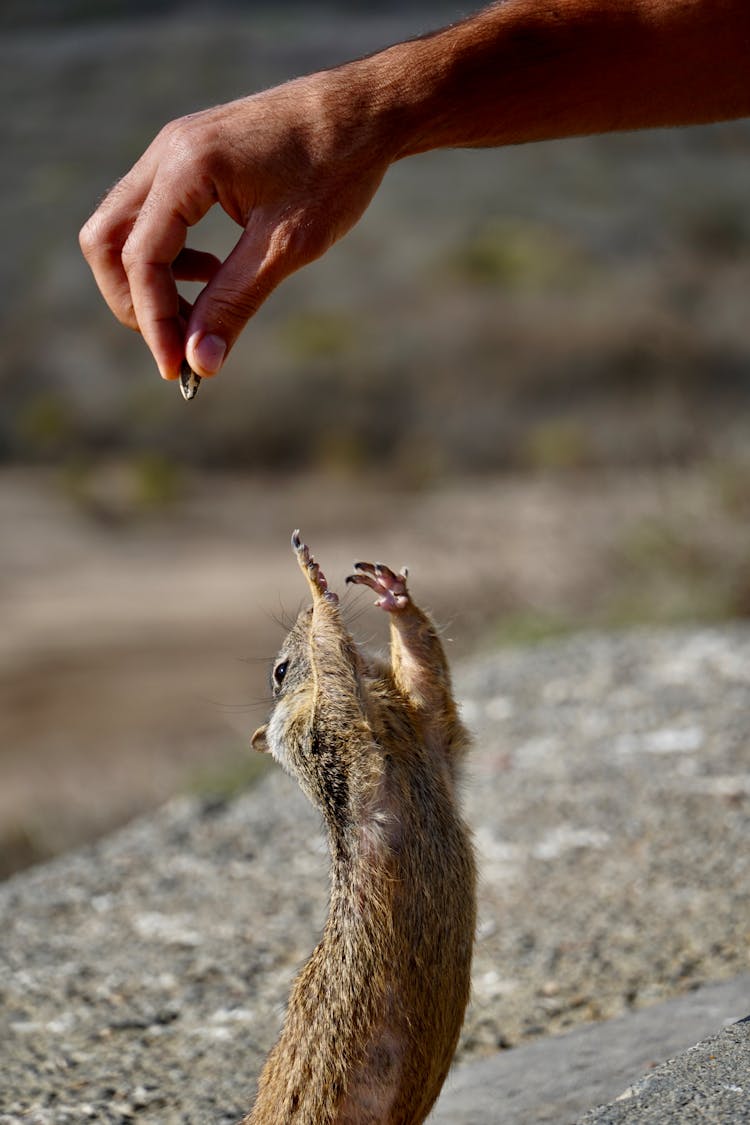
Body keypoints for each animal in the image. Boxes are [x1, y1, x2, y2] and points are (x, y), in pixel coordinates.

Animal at [244, 535, 479, 1125]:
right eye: (279, 672)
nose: (301, 615)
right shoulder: (334, 743)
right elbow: (335, 688)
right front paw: (315, 585)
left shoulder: (428, 732)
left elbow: (426, 681)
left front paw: (392, 593)